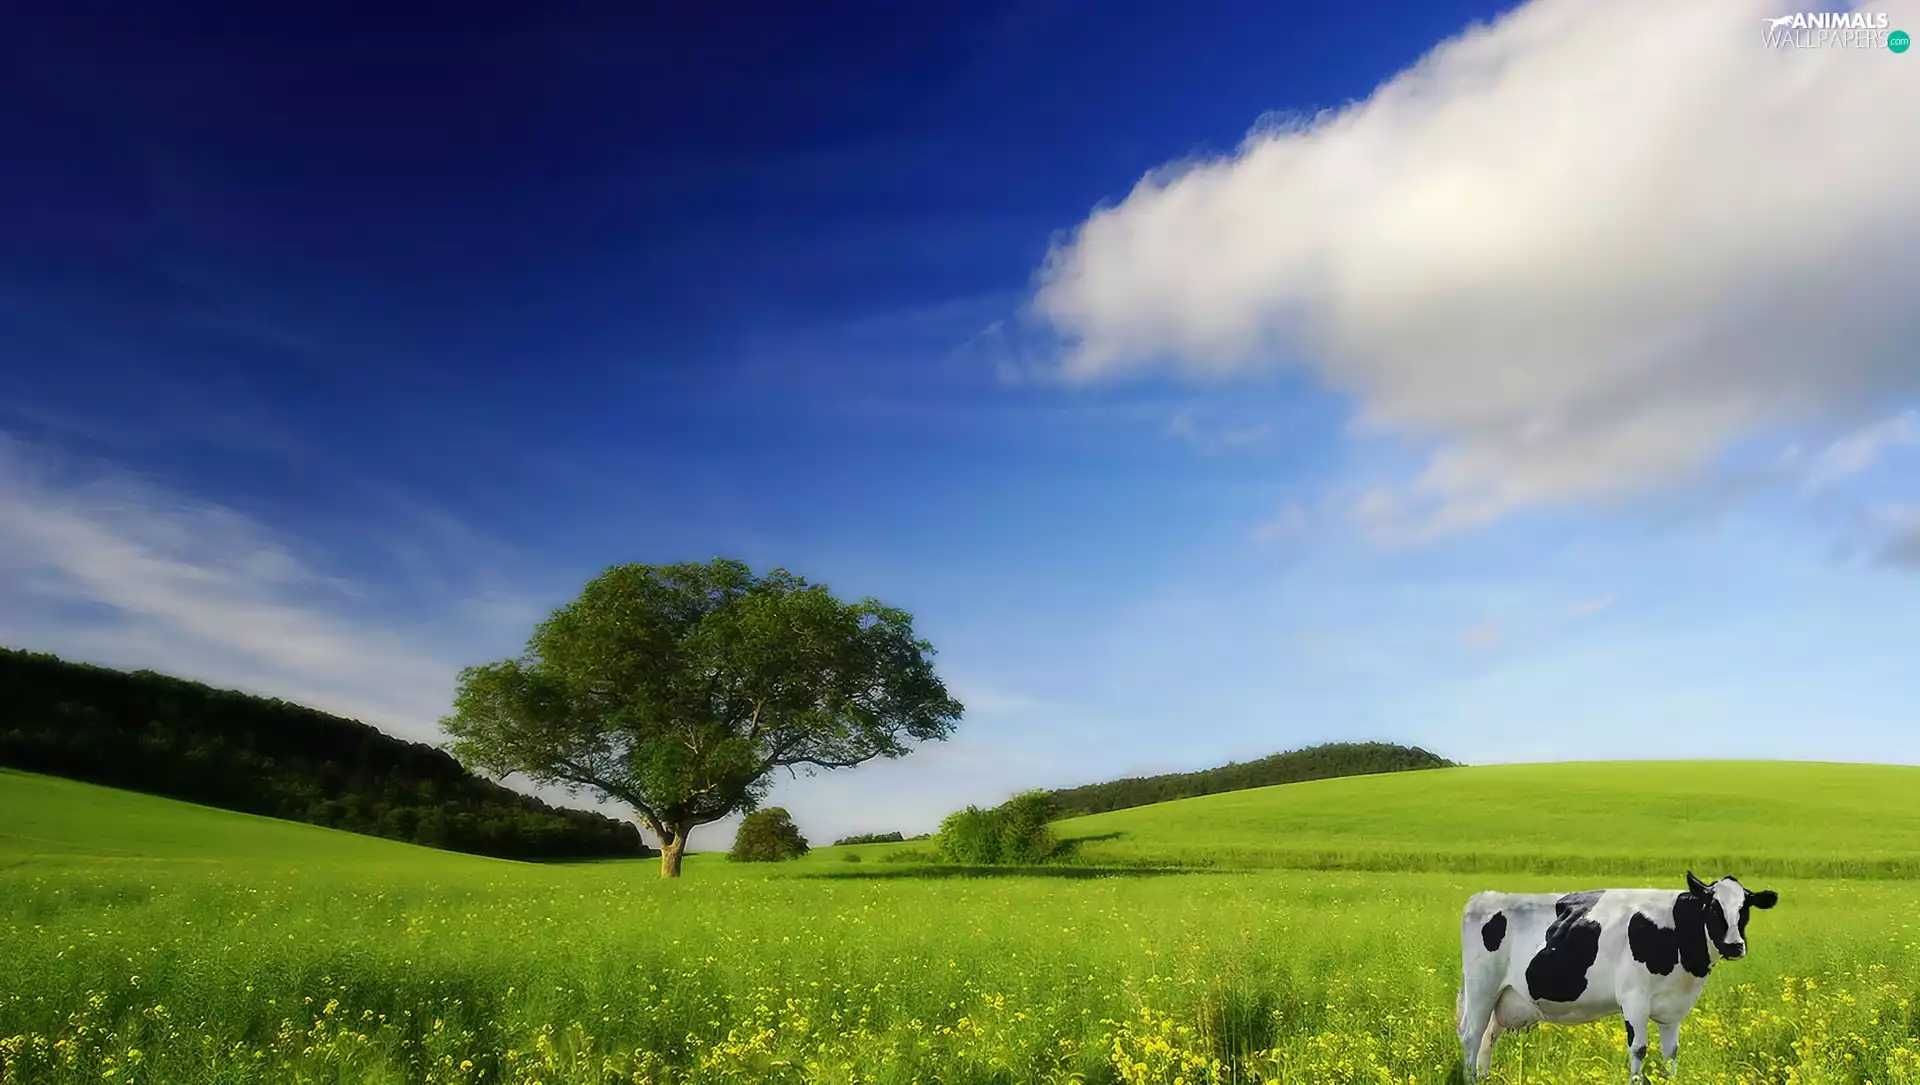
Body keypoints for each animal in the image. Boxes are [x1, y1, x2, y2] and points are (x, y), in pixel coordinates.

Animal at [1456, 872, 1778, 1082]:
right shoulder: (1634, 998)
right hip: (1481, 988)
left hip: (1504, 999)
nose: (1735, 945)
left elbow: (1671, 1053)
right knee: (1472, 1036)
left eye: (1745, 908)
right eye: (1713, 906)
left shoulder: (1673, 1008)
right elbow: (1639, 1049)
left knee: (1487, 1039)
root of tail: (1483, 897)